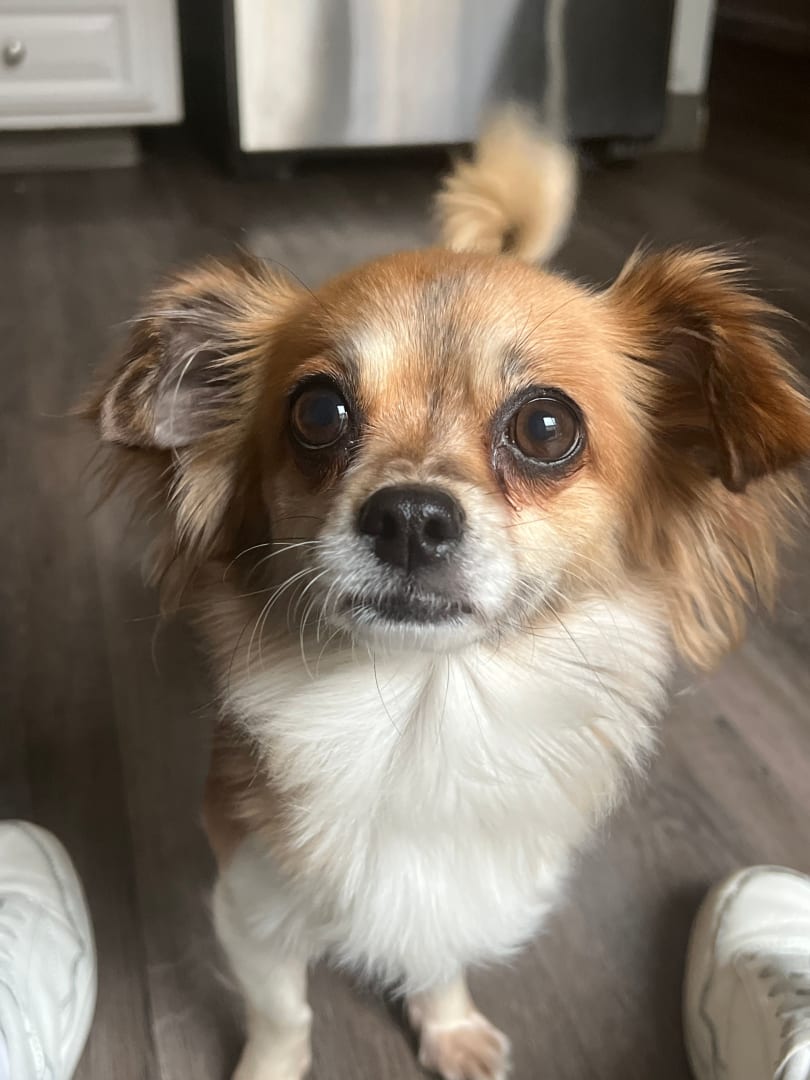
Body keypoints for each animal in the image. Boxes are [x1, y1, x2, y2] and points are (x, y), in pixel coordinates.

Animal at [90, 110, 810, 1080]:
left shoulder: (462, 891)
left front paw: (450, 1024)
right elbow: (282, 1012)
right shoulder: (252, 903)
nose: (408, 517)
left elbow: (436, 959)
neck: (424, 714)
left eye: (545, 425)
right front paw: (271, 1067)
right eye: (317, 412)